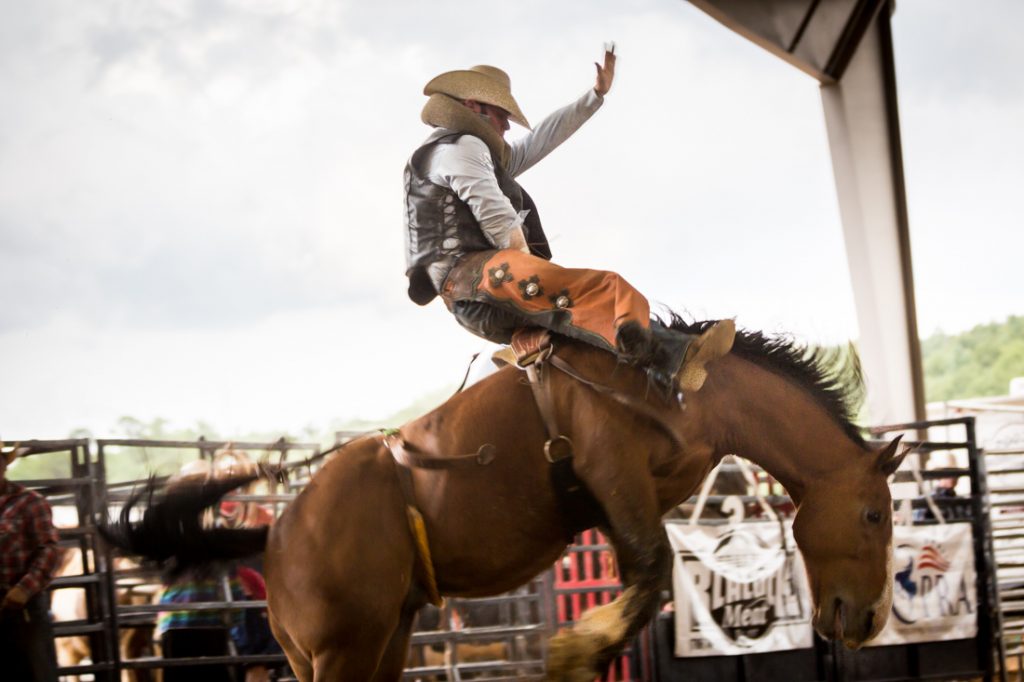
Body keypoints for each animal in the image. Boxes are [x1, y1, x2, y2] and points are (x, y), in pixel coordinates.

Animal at [101, 317, 905, 679]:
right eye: (874, 513)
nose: (869, 620)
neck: (694, 393)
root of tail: (275, 534)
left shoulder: (620, 504)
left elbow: (644, 580)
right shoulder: (611, 467)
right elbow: (649, 573)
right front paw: (573, 651)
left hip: (375, 640)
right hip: (339, 653)